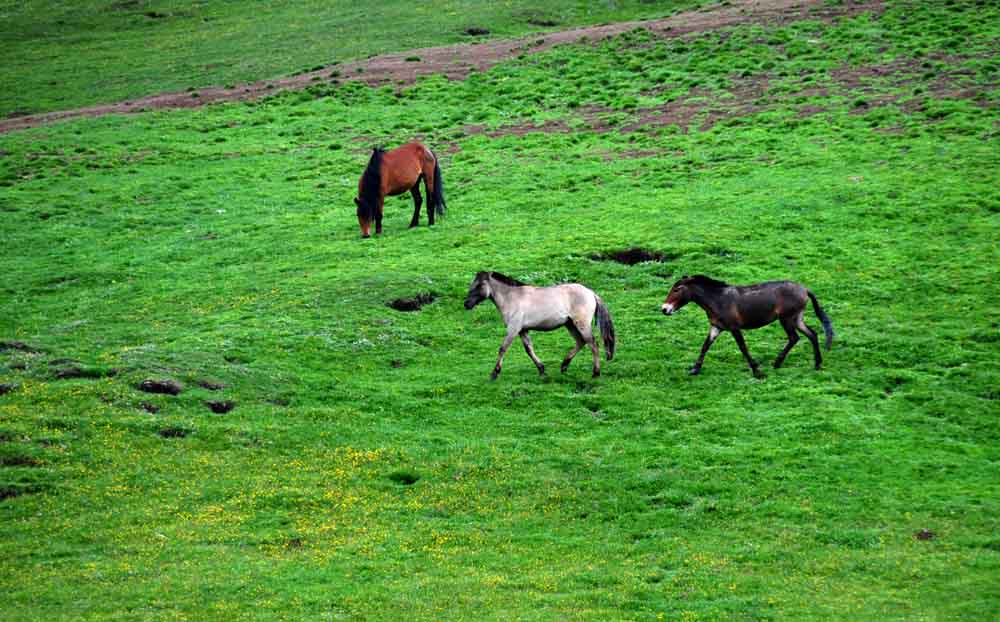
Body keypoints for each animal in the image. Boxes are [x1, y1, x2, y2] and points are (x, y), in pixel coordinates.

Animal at [462, 272, 616, 380]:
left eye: (479, 285)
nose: (467, 304)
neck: (512, 298)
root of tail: (591, 293)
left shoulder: (513, 329)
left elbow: (503, 348)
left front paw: (494, 373)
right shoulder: (523, 330)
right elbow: (529, 349)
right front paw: (541, 369)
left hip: (581, 324)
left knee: (593, 344)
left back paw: (595, 373)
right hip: (570, 324)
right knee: (581, 342)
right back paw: (564, 366)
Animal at [660, 276, 832, 378]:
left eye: (676, 289)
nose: (664, 309)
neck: (718, 300)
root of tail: (805, 289)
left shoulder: (734, 328)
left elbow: (743, 347)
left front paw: (757, 371)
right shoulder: (716, 327)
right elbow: (705, 346)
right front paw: (695, 369)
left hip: (787, 319)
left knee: (794, 338)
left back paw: (777, 363)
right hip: (796, 319)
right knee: (812, 334)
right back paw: (817, 364)